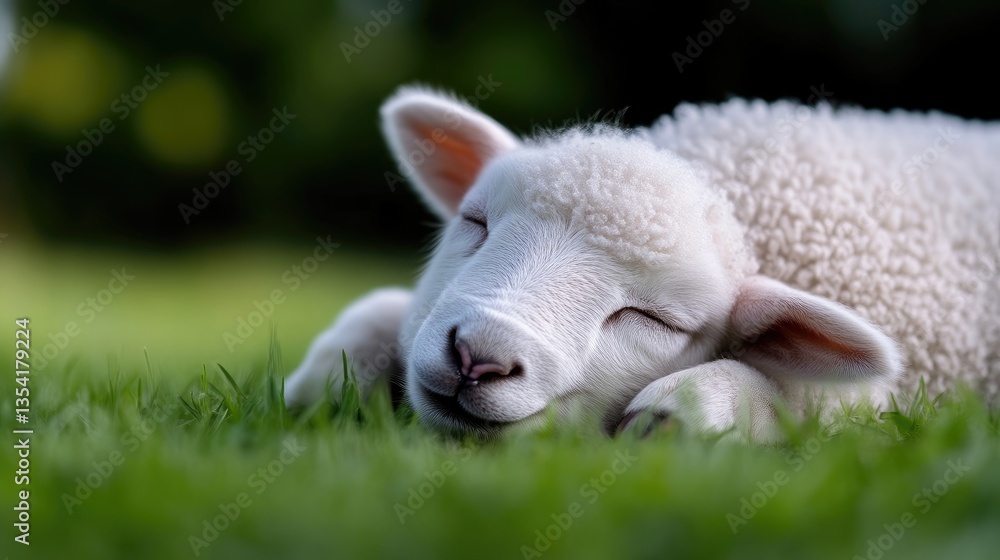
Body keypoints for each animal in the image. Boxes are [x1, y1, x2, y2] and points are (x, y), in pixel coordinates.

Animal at [284, 86, 1000, 442]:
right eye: (475, 222)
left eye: (655, 319)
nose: (478, 356)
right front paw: (330, 373)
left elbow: (816, 404)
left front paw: (694, 408)